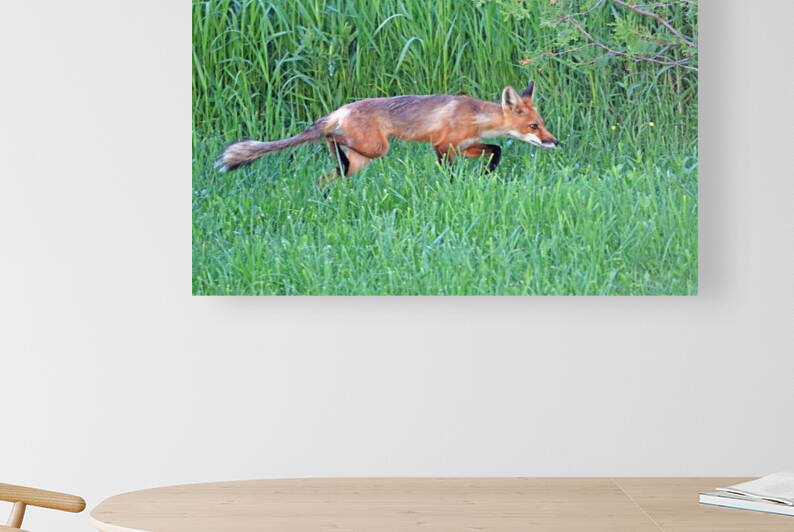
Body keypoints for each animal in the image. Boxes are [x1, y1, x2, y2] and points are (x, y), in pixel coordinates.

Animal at [215, 80, 558, 187]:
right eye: (534, 126)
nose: (554, 141)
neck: (476, 116)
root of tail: (344, 107)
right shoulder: (442, 146)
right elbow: (448, 173)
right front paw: (453, 188)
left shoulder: (464, 146)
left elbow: (496, 150)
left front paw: (487, 173)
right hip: (375, 149)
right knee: (330, 138)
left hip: (362, 160)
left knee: (326, 176)